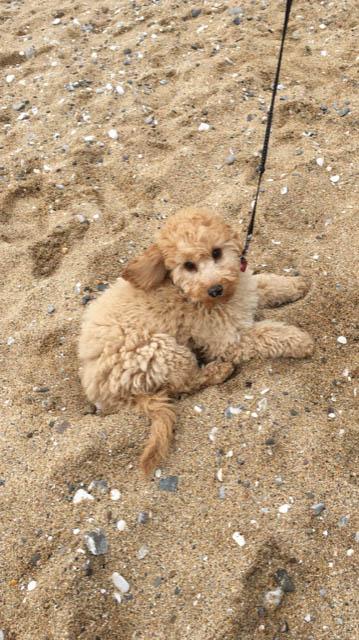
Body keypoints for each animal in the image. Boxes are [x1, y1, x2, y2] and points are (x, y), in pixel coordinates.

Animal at [79, 208, 316, 472]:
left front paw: (295, 284)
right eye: (188, 265)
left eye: (217, 252)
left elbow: (265, 283)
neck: (187, 293)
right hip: (162, 351)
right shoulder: (228, 340)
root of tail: (101, 390)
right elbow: (267, 334)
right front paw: (300, 340)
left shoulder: (245, 288)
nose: (215, 289)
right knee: (184, 384)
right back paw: (218, 370)